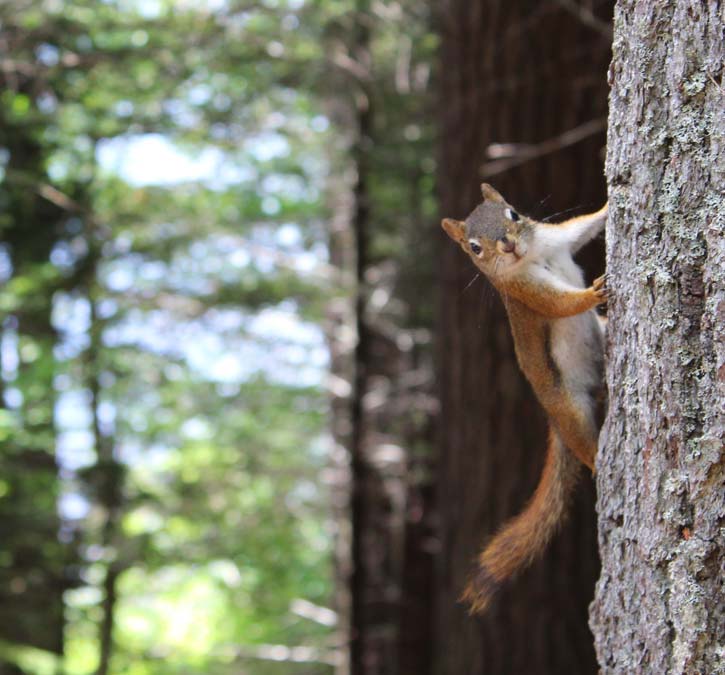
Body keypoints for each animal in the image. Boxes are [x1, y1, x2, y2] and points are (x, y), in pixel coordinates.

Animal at [442, 182, 604, 616]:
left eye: (513, 214)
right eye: (474, 248)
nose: (509, 246)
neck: (533, 255)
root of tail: (552, 420)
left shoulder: (558, 238)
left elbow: (585, 226)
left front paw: (610, 203)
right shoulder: (525, 292)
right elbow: (560, 304)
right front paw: (593, 292)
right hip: (570, 409)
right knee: (585, 447)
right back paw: (600, 462)